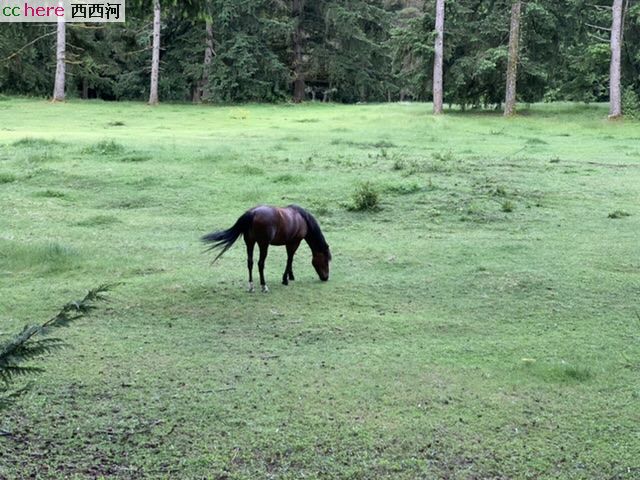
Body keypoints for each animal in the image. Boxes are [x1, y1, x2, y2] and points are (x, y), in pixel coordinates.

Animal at [202, 203, 332, 290]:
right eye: (326, 260)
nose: (326, 278)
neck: (302, 219)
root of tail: (253, 213)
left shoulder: (289, 243)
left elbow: (290, 259)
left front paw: (290, 276)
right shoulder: (295, 242)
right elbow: (289, 259)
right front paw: (285, 279)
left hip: (250, 242)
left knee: (250, 262)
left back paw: (251, 286)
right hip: (263, 244)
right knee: (260, 264)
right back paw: (264, 286)